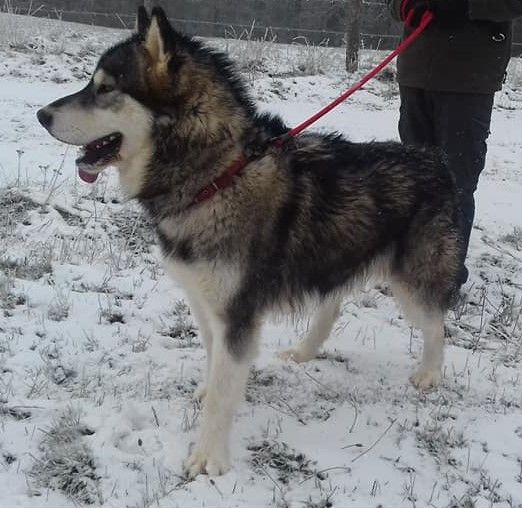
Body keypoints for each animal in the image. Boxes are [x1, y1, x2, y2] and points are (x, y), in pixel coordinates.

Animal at [36, 5, 460, 478]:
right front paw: (209, 391)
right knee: (333, 304)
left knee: (436, 324)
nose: (41, 115)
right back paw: (304, 351)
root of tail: (434, 159)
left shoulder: (236, 313)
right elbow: (214, 360)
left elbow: (224, 391)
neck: (216, 176)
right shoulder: (204, 302)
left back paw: (429, 374)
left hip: (412, 282)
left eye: (105, 88)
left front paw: (209, 458)